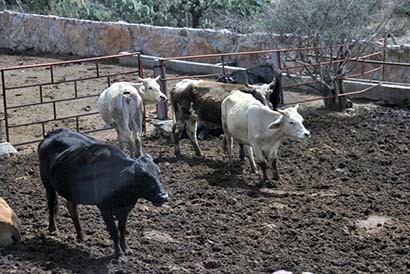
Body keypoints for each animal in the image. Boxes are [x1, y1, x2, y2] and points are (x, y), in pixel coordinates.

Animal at [37, 128, 168, 260]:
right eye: (143, 176)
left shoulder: (125, 208)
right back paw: (53, 229)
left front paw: (126, 249)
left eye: (158, 172)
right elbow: (114, 231)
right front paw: (119, 255)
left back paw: (82, 235)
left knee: (72, 209)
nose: (163, 196)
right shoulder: (105, 208)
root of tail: (54, 132)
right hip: (47, 183)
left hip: (72, 192)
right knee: (51, 204)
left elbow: (122, 229)